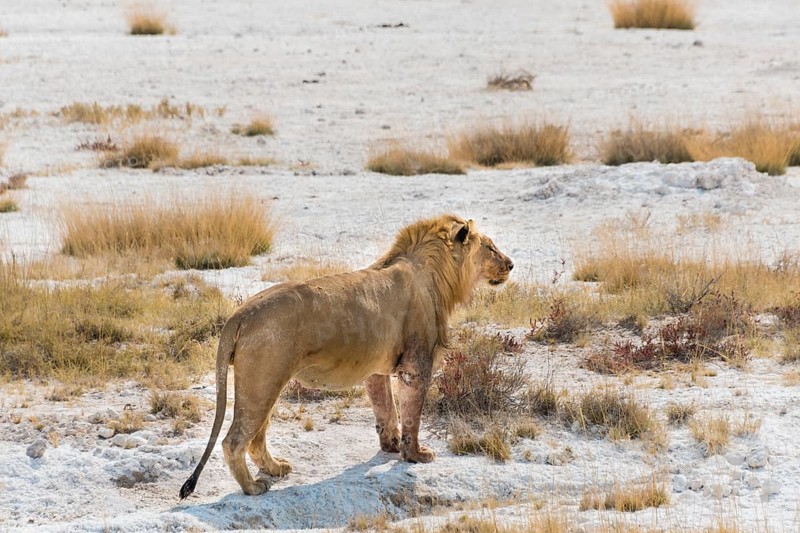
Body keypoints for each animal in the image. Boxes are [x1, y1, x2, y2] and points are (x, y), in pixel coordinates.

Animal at [179, 214, 513, 498]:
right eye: (490, 247)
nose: (511, 264)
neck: (437, 273)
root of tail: (240, 313)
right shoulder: (416, 365)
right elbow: (411, 415)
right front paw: (415, 455)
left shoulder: (376, 369)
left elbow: (385, 410)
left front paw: (390, 446)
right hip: (261, 384)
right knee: (234, 440)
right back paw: (252, 487)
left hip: (266, 386)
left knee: (256, 437)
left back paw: (276, 469)